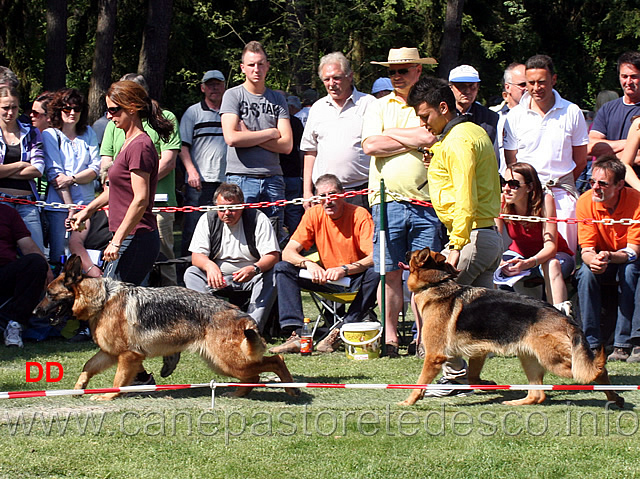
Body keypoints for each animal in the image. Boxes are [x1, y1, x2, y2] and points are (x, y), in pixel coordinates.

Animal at [36, 255, 302, 402]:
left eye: (49, 294)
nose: (34, 313)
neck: (102, 299)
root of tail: (240, 313)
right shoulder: (110, 354)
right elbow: (87, 367)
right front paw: (78, 387)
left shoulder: (127, 356)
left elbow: (118, 380)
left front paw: (110, 395)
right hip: (222, 363)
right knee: (254, 376)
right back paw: (238, 394)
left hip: (228, 361)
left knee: (274, 361)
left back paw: (291, 389)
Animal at [400, 248, 624, 408]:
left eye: (412, 254)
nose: (404, 252)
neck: (436, 285)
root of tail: (565, 318)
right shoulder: (479, 352)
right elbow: (472, 376)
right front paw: (487, 385)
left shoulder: (434, 356)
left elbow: (420, 383)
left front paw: (409, 401)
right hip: (530, 359)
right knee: (538, 395)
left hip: (555, 363)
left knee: (596, 372)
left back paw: (614, 397)